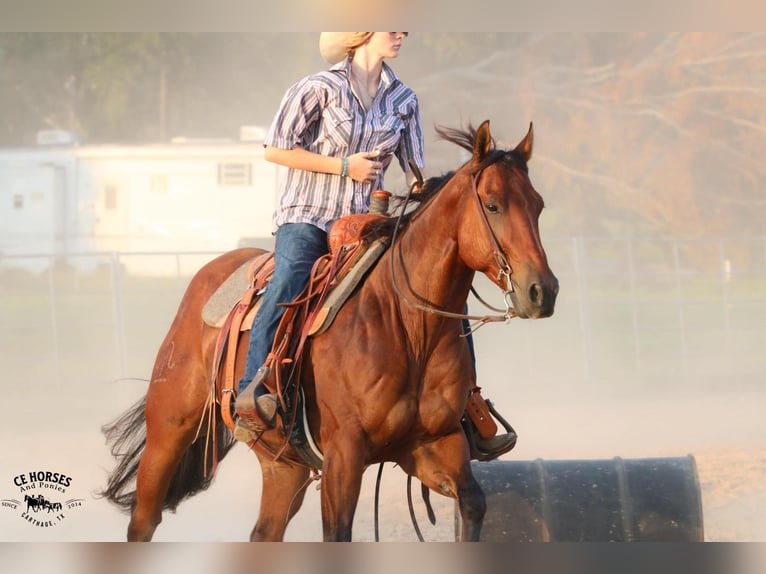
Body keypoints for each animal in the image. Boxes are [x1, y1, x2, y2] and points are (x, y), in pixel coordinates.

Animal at [100, 119, 560, 544]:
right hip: (169, 430)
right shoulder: (344, 452)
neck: (407, 327)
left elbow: (473, 503)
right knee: (144, 521)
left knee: (264, 533)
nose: (543, 290)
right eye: (493, 205)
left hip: (284, 464)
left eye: (538, 206)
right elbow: (338, 532)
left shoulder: (434, 444)